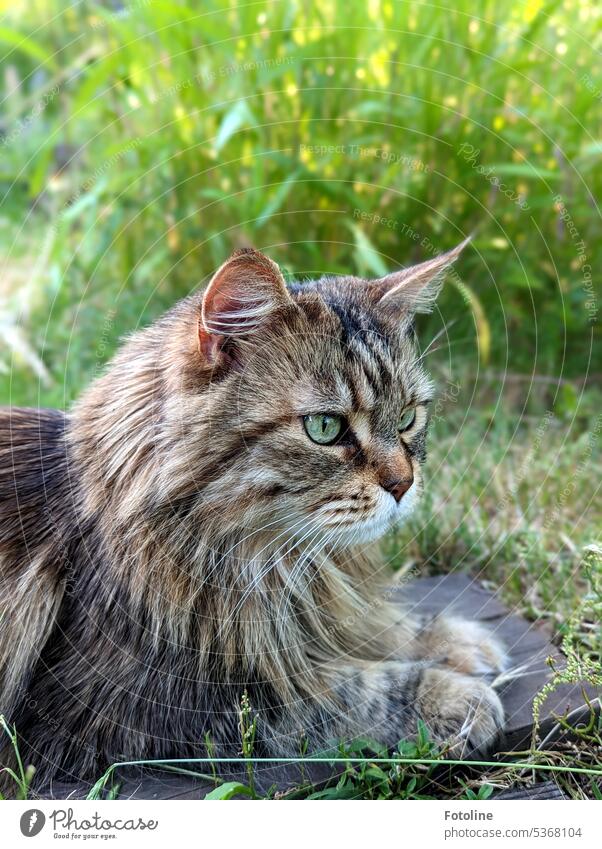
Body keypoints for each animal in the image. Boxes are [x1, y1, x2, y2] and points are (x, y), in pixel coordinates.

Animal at [0, 242, 504, 792]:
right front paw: (452, 696)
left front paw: (453, 641)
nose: (402, 484)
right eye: (325, 428)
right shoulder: (147, 708)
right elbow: (346, 691)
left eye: (409, 417)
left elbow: (378, 628)